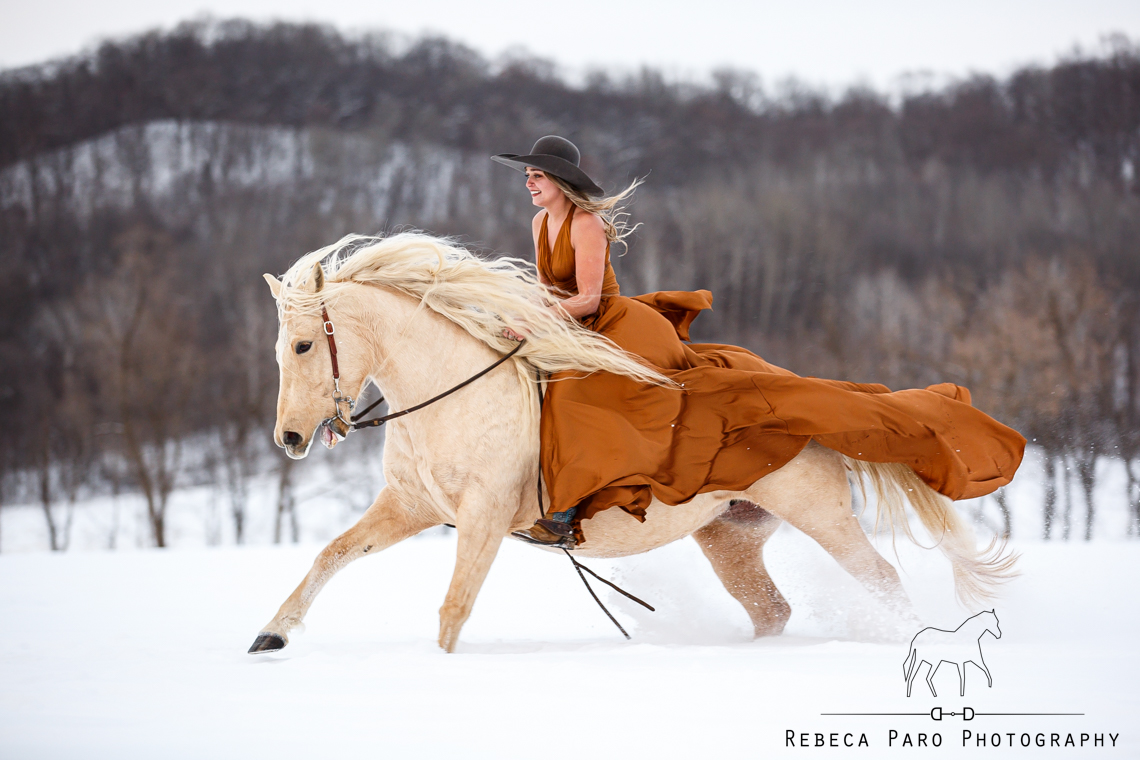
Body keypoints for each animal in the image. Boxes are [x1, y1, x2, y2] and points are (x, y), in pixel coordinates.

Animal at [249, 233, 1016, 656]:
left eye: (305, 344)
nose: (289, 438)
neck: (450, 393)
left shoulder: (483, 519)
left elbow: (453, 606)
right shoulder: (411, 508)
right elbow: (332, 555)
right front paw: (272, 634)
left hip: (821, 516)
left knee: (882, 582)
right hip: (731, 537)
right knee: (771, 609)